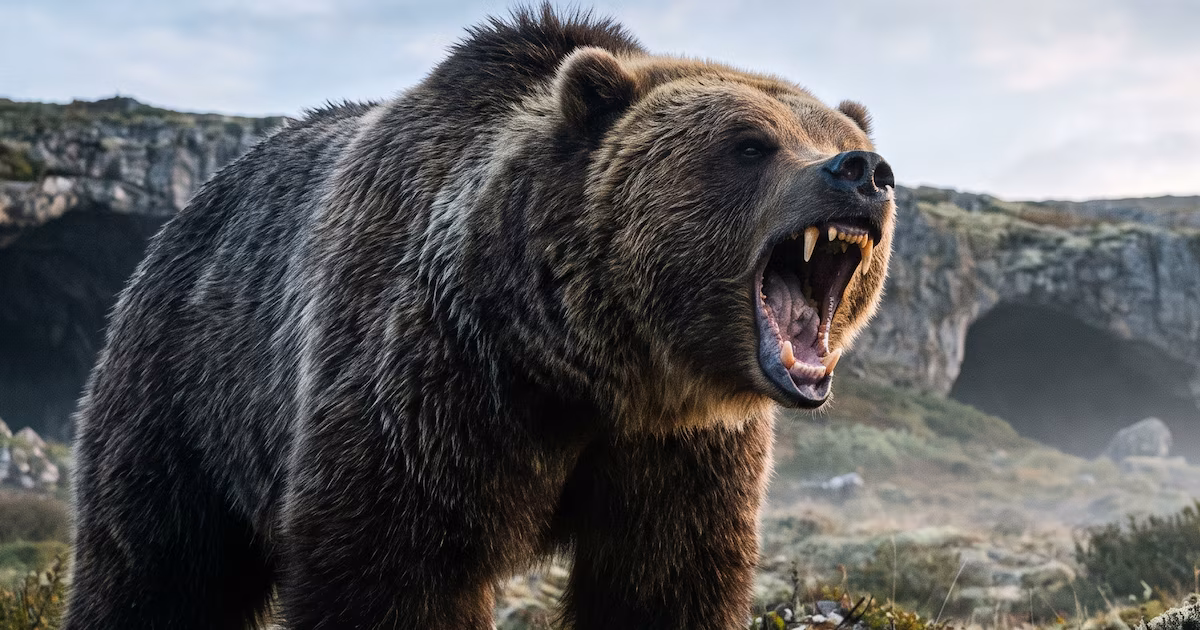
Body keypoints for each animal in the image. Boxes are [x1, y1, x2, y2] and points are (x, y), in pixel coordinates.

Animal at [65, 6, 895, 629]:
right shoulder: (432, 386)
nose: (865, 173)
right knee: (155, 562)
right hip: (190, 388)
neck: (591, 364)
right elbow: (394, 568)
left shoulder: (684, 451)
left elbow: (666, 577)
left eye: (842, 138)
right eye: (751, 144)